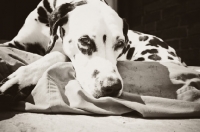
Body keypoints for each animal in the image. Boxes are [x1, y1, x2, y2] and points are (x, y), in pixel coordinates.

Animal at [0, 0, 184, 99]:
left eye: (120, 44)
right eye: (85, 41)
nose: (112, 87)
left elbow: (56, 55)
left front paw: (21, 79)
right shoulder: (15, 43)